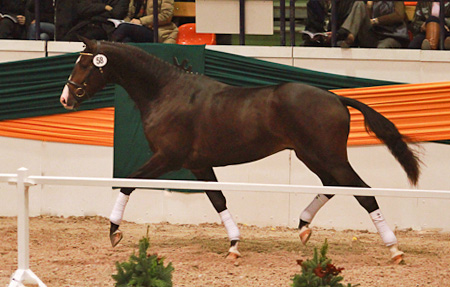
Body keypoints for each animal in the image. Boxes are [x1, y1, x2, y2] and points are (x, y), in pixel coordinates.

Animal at [60, 37, 422, 264]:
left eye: (85, 65)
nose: (65, 98)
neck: (167, 93)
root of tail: (336, 97)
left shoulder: (167, 158)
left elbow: (129, 182)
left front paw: (114, 232)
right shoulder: (198, 166)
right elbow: (218, 200)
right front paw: (234, 246)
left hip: (329, 156)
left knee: (363, 192)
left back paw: (394, 250)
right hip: (313, 156)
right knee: (334, 186)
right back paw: (304, 227)